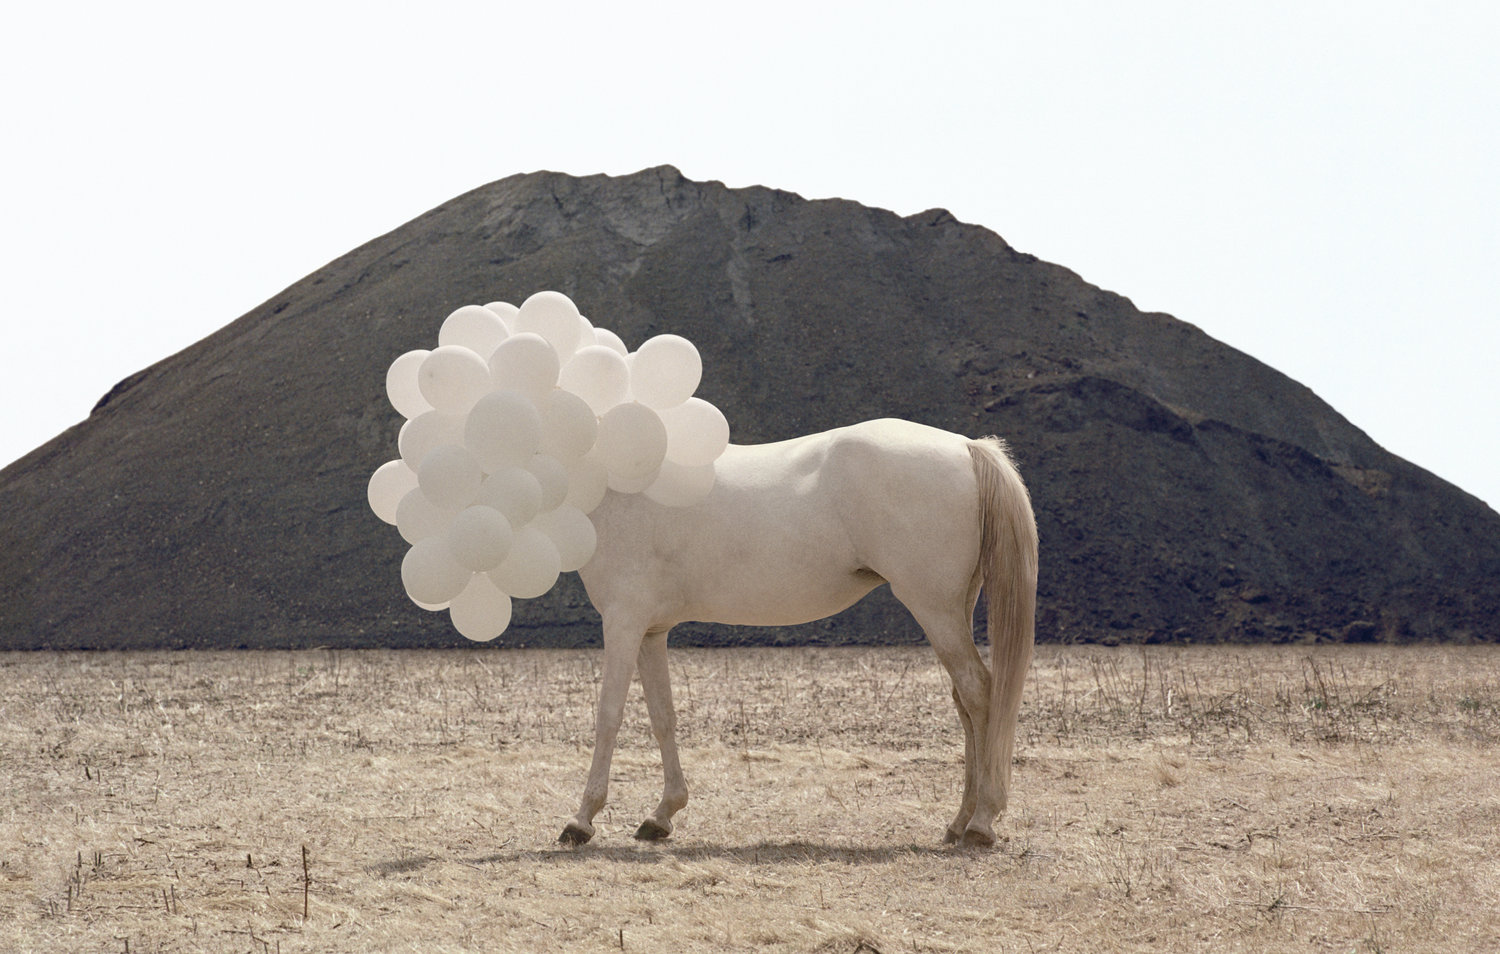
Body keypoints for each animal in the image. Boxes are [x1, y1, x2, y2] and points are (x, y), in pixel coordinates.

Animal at [558, 420, 1038, 852]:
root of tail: (966, 446)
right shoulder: (651, 631)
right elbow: (663, 718)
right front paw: (662, 815)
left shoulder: (623, 621)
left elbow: (608, 716)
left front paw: (581, 821)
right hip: (954, 610)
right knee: (966, 702)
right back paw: (959, 823)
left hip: (935, 610)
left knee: (979, 692)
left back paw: (981, 823)